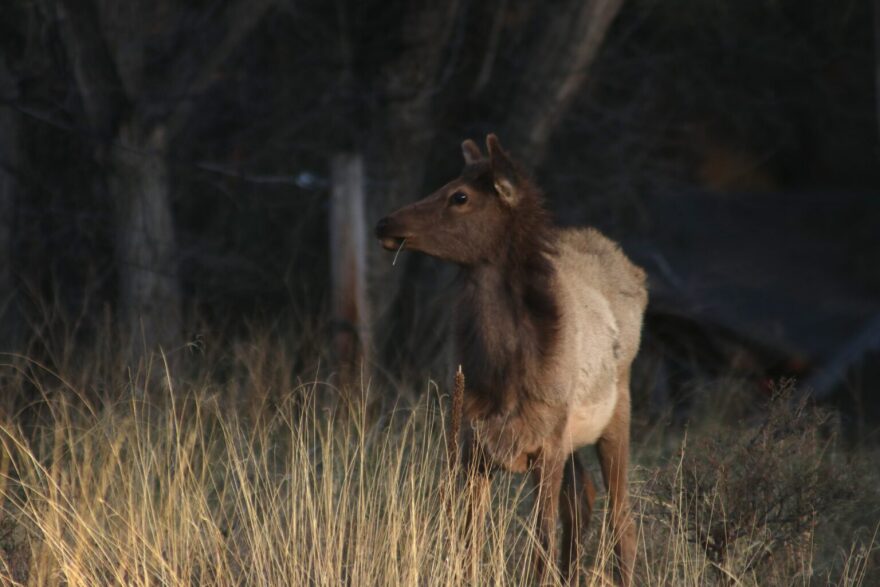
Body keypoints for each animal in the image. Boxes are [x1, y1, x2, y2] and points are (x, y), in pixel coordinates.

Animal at [375, 134, 647, 585]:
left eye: (460, 196)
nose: (385, 223)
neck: (508, 376)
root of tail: (636, 273)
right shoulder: (474, 447)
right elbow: (468, 544)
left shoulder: (547, 447)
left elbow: (539, 547)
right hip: (572, 436)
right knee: (583, 499)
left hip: (615, 413)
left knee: (621, 519)